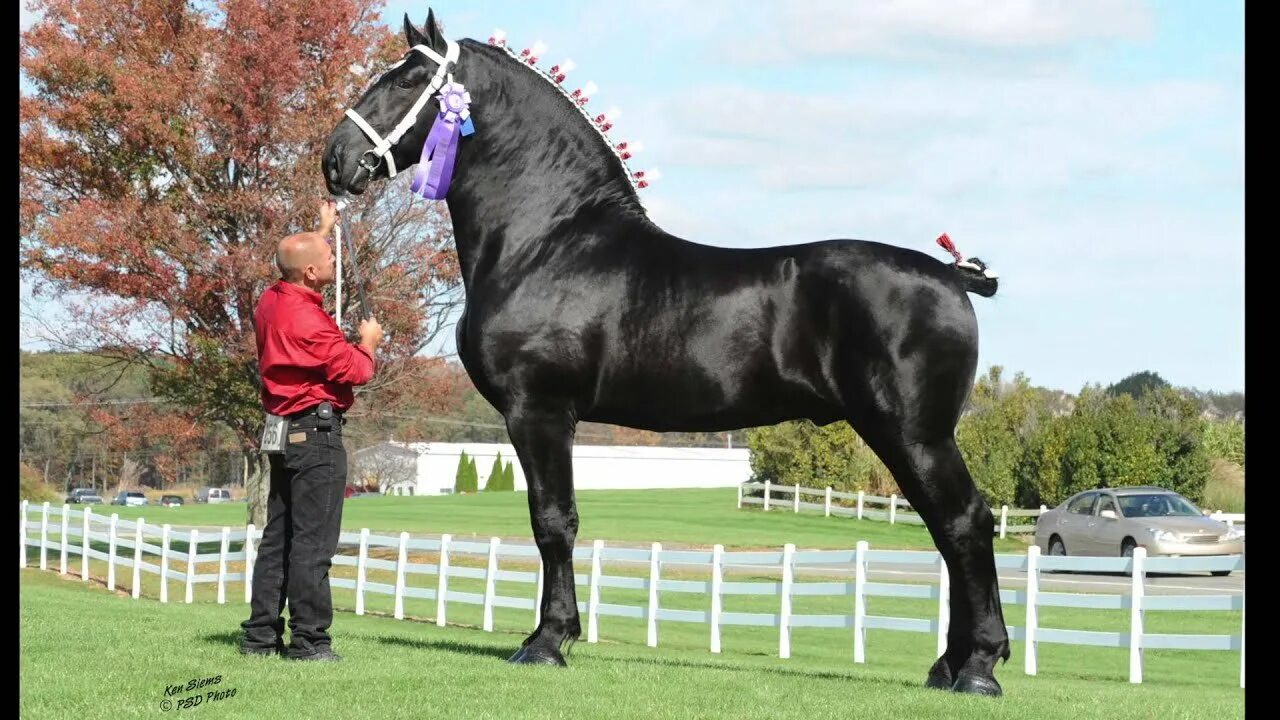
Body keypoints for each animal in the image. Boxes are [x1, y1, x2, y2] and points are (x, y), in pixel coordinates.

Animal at [322, 9, 1008, 696]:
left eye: (407, 79)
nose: (336, 159)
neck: (550, 242)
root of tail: (952, 276)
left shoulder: (538, 410)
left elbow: (553, 520)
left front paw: (547, 641)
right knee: (947, 531)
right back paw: (950, 666)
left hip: (914, 433)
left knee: (965, 523)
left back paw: (978, 667)